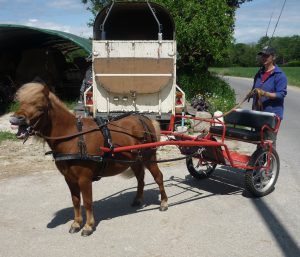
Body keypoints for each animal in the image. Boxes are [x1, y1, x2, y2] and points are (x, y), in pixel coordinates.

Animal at [9, 82, 168, 236]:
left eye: (39, 105)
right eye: (21, 102)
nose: (14, 119)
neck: (74, 137)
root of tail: (144, 119)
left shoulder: (84, 178)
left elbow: (87, 201)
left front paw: (88, 226)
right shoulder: (69, 178)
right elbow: (75, 201)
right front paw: (76, 223)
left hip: (149, 157)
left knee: (159, 177)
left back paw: (164, 203)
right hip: (135, 160)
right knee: (140, 178)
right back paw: (138, 199)